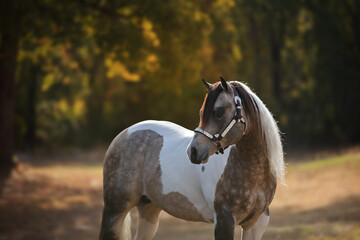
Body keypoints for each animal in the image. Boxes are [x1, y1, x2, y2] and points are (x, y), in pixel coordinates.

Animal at [98, 77, 284, 240]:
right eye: (202, 112)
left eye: (219, 112)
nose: (193, 151)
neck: (253, 171)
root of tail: (124, 134)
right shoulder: (224, 221)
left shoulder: (257, 223)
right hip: (115, 209)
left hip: (148, 209)